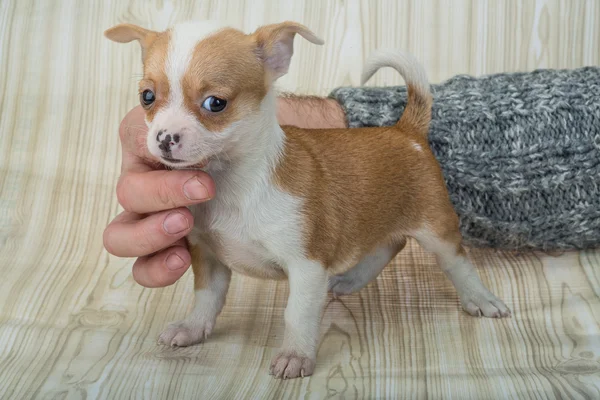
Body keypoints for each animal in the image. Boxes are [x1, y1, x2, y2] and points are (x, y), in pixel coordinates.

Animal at [105, 20, 508, 380]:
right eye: (147, 97)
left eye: (215, 103)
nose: (163, 138)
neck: (235, 185)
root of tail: (405, 130)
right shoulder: (208, 255)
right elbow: (207, 297)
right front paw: (192, 328)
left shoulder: (306, 265)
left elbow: (296, 314)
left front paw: (296, 356)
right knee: (389, 244)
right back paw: (351, 280)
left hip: (435, 226)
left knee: (455, 261)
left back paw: (481, 299)